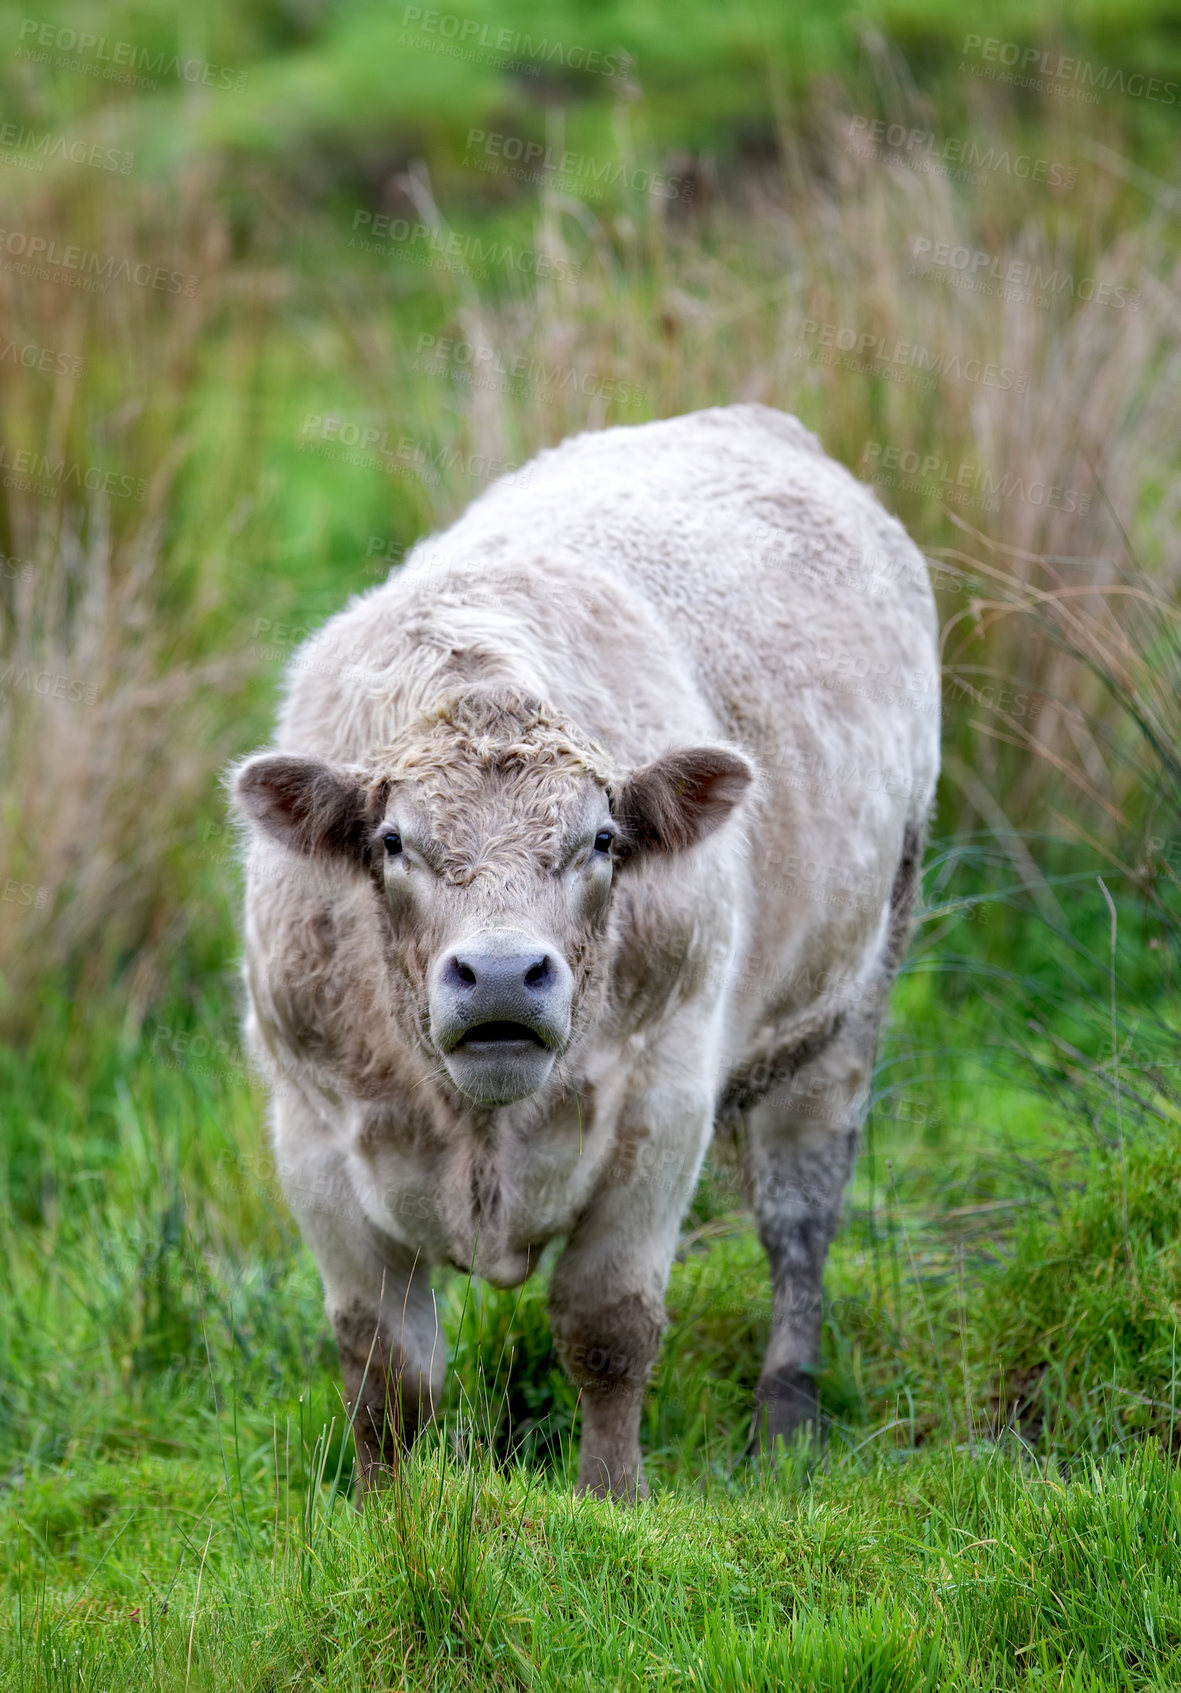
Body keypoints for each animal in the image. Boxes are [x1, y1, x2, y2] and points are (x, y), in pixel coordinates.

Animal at [230, 402, 940, 1503]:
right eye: (392, 842)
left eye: (601, 840)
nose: (500, 975)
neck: (475, 1130)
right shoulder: (313, 1136)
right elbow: (385, 1368)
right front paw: (383, 1514)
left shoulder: (662, 1105)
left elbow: (607, 1329)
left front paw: (613, 1498)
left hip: (846, 1005)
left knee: (799, 1220)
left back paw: (785, 1421)